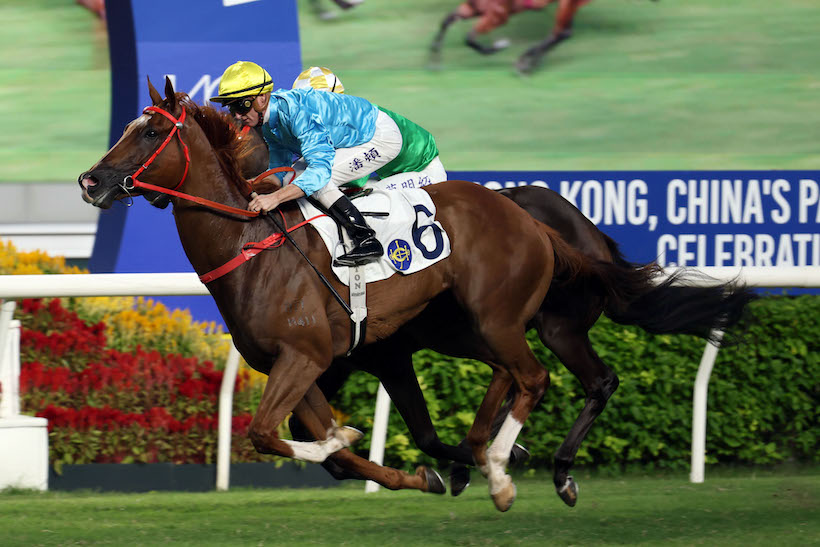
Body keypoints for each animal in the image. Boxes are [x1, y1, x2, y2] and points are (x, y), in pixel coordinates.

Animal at [80, 77, 588, 512]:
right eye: (127, 129)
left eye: (151, 132)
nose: (90, 181)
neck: (253, 246)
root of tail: (525, 216)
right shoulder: (294, 364)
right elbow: (326, 450)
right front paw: (416, 474)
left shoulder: (306, 355)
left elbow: (265, 433)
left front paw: (345, 435)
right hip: (457, 327)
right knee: (506, 372)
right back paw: (489, 455)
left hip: (495, 317)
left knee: (533, 378)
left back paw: (501, 474)